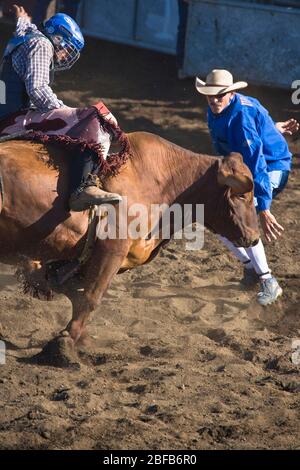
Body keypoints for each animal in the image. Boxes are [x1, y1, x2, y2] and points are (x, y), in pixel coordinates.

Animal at [0, 132, 258, 364]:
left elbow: (63, 287)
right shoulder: (112, 250)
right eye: (243, 196)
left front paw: (80, 337)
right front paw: (64, 345)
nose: (254, 238)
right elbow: (90, 297)